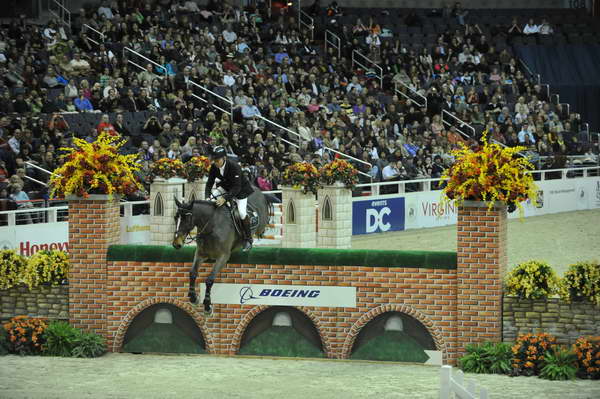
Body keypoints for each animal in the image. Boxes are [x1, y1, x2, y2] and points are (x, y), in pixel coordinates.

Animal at [170, 189, 270, 318]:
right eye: (175, 217)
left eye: (186, 219)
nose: (176, 244)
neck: (211, 226)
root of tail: (258, 191)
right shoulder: (200, 254)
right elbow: (192, 273)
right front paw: (193, 298)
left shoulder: (223, 257)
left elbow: (209, 280)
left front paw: (207, 306)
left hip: (259, 223)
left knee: (259, 230)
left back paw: (251, 243)